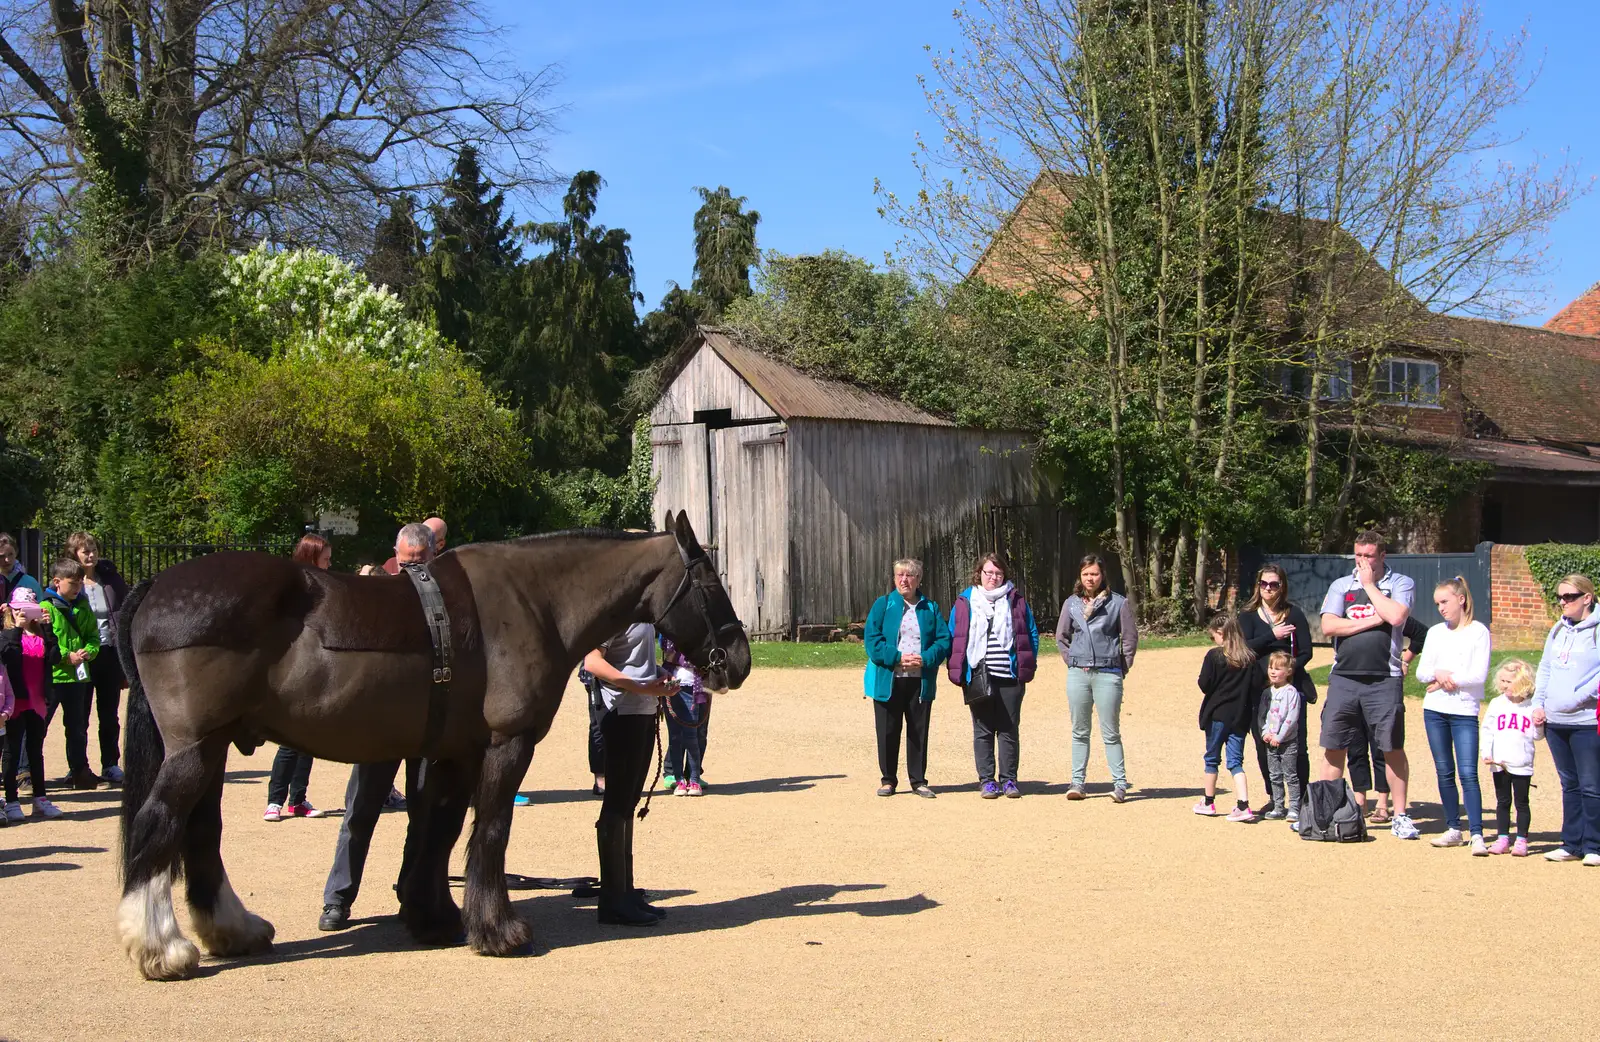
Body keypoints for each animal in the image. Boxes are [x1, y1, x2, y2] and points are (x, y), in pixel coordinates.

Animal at [112, 512, 748, 979]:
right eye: (712, 584)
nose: (738, 660)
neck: (533, 602)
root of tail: (157, 585)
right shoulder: (506, 746)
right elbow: (489, 831)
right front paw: (499, 932)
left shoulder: (453, 753)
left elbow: (438, 832)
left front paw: (435, 918)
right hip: (196, 750)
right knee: (159, 824)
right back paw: (161, 947)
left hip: (213, 748)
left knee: (200, 833)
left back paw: (232, 930)